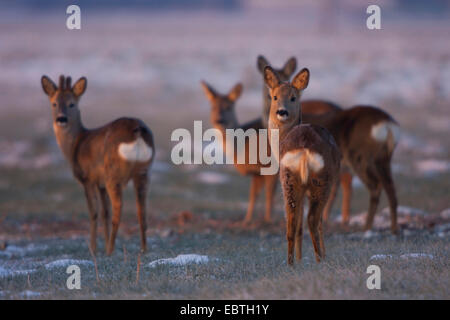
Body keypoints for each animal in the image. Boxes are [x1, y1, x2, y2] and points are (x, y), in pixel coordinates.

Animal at [42, 75, 155, 255]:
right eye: (54, 103)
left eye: (72, 104)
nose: (61, 119)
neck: (75, 144)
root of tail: (137, 130)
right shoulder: (100, 183)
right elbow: (104, 213)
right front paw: (102, 243)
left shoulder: (87, 178)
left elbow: (94, 213)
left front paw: (93, 248)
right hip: (144, 171)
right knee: (141, 210)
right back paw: (143, 249)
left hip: (114, 174)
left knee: (119, 209)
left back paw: (110, 249)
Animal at [200, 81, 278, 224]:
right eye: (212, 107)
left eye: (228, 107)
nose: (219, 120)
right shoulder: (257, 172)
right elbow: (253, 195)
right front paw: (247, 220)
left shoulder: (272, 165)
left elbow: (269, 194)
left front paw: (269, 220)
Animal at [262, 66, 340, 264]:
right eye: (274, 97)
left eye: (293, 97)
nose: (282, 112)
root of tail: (305, 149)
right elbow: (316, 223)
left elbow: (297, 226)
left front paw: (298, 259)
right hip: (321, 180)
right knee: (313, 219)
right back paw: (320, 259)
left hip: (289, 179)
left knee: (291, 223)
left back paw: (291, 264)